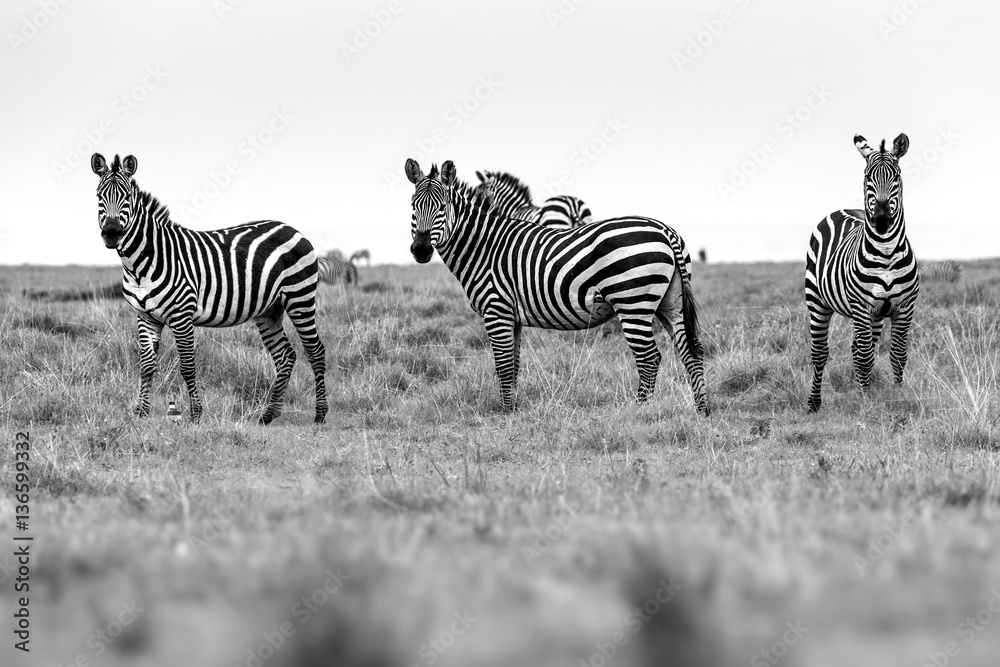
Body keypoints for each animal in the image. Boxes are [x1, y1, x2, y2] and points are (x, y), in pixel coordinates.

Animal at [91, 153, 328, 424]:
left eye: (127, 196)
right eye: (98, 195)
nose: (111, 233)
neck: (140, 264)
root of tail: (291, 228)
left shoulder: (181, 315)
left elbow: (187, 366)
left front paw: (196, 414)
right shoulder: (145, 317)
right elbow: (147, 365)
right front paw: (141, 412)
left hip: (300, 298)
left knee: (315, 351)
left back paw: (320, 414)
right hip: (270, 309)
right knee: (285, 356)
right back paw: (268, 415)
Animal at [406, 158, 709, 415]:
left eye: (442, 209)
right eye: (413, 207)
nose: (420, 250)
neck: (483, 247)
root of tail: (665, 230)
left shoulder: (496, 310)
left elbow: (502, 364)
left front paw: (505, 414)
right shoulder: (512, 317)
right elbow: (513, 365)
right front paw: (513, 409)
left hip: (632, 302)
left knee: (649, 358)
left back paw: (639, 412)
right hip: (671, 302)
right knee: (690, 352)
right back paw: (701, 411)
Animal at [804, 134, 919, 412]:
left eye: (896, 176)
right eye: (868, 177)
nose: (881, 220)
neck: (886, 253)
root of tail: (842, 209)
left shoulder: (905, 306)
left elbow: (898, 354)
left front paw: (896, 396)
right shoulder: (861, 305)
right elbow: (866, 356)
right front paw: (866, 401)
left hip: (875, 315)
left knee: (857, 347)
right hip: (817, 302)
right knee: (820, 352)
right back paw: (814, 403)